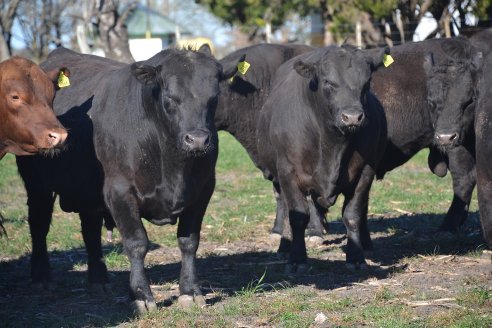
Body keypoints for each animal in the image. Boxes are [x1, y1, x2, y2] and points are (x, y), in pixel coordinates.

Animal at [15, 44, 244, 312]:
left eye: (214, 97)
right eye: (170, 97)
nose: (197, 140)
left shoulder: (203, 190)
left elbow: (189, 241)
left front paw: (190, 291)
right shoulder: (119, 191)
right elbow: (137, 243)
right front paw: (142, 296)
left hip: (88, 192)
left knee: (90, 231)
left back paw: (99, 280)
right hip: (37, 185)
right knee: (39, 226)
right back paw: (41, 278)